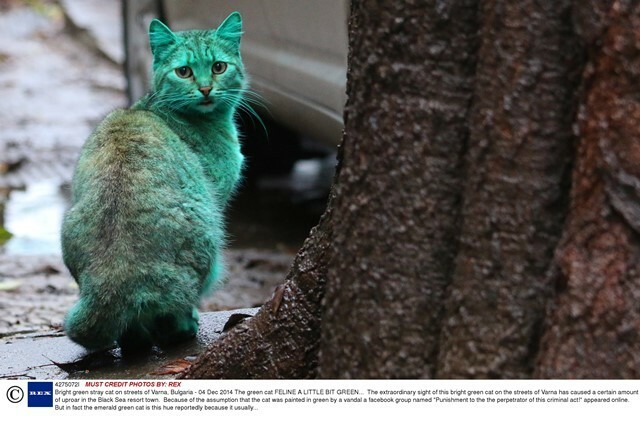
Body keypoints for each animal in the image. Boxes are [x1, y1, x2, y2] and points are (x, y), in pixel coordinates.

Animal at [62, 11, 246, 352]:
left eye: (218, 67)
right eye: (184, 71)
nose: (205, 89)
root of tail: (111, 284)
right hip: (209, 240)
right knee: (173, 313)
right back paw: (184, 328)